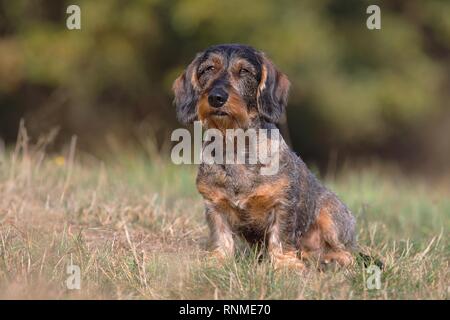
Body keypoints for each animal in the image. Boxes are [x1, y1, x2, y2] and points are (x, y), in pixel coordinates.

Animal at [172, 44, 356, 270]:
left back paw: (332, 259)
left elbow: (281, 237)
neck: (236, 147)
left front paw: (285, 265)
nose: (216, 98)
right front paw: (218, 260)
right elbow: (221, 236)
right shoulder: (214, 205)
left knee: (346, 253)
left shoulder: (283, 204)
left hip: (330, 216)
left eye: (244, 71)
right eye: (208, 69)